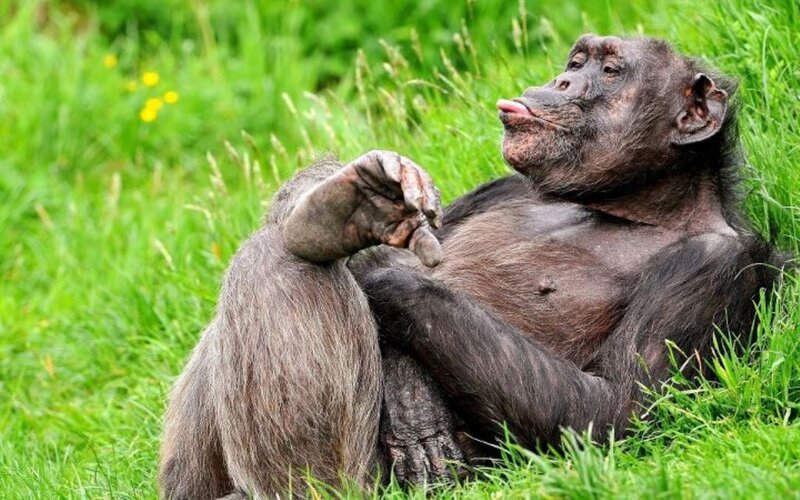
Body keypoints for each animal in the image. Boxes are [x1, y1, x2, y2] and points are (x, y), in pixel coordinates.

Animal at [158, 34, 787, 499]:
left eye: (610, 71)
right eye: (576, 62)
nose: (562, 81)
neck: (623, 205)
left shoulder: (712, 268)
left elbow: (613, 411)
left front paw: (386, 281)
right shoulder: (500, 187)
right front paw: (361, 202)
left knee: (281, 264)